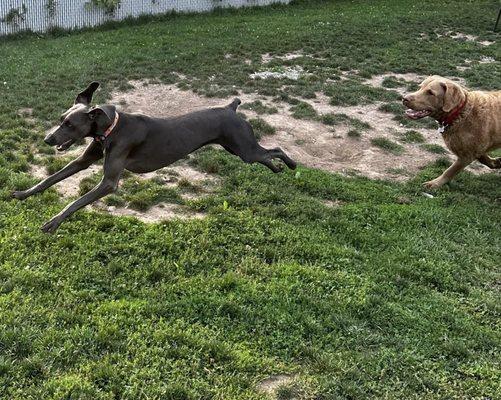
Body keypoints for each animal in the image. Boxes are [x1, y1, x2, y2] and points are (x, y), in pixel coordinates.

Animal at [12, 82, 296, 231]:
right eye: (61, 119)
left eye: (70, 125)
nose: (48, 139)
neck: (110, 129)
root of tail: (230, 107)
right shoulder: (82, 160)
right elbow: (49, 179)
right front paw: (23, 194)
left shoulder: (109, 183)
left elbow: (76, 202)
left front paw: (53, 223)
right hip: (237, 149)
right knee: (266, 156)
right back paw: (277, 169)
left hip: (244, 149)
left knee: (275, 149)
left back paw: (291, 165)